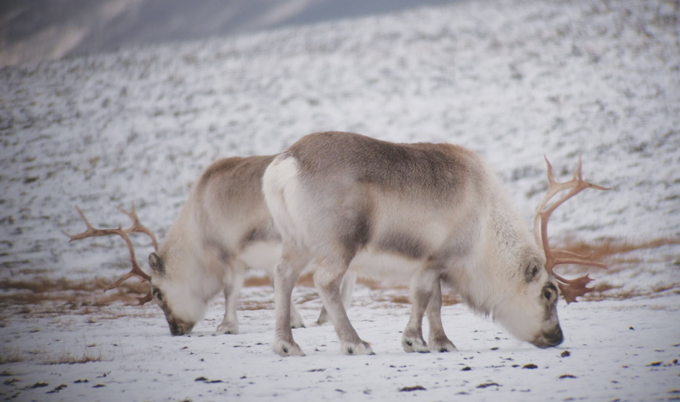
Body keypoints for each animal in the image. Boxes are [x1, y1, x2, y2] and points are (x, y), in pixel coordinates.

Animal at [64, 155, 356, 336]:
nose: (176, 330)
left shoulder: (229, 256)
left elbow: (230, 290)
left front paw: (226, 326)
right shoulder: (265, 260)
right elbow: (278, 284)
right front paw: (295, 321)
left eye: (157, 294)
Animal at [262, 131, 608, 356]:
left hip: (295, 242)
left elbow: (435, 303)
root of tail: (284, 165)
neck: (486, 229)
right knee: (325, 282)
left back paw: (286, 344)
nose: (557, 336)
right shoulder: (436, 259)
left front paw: (442, 342)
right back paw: (355, 343)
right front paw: (414, 341)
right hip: (338, 245)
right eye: (548, 293)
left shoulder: (434, 264)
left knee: (282, 274)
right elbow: (423, 298)